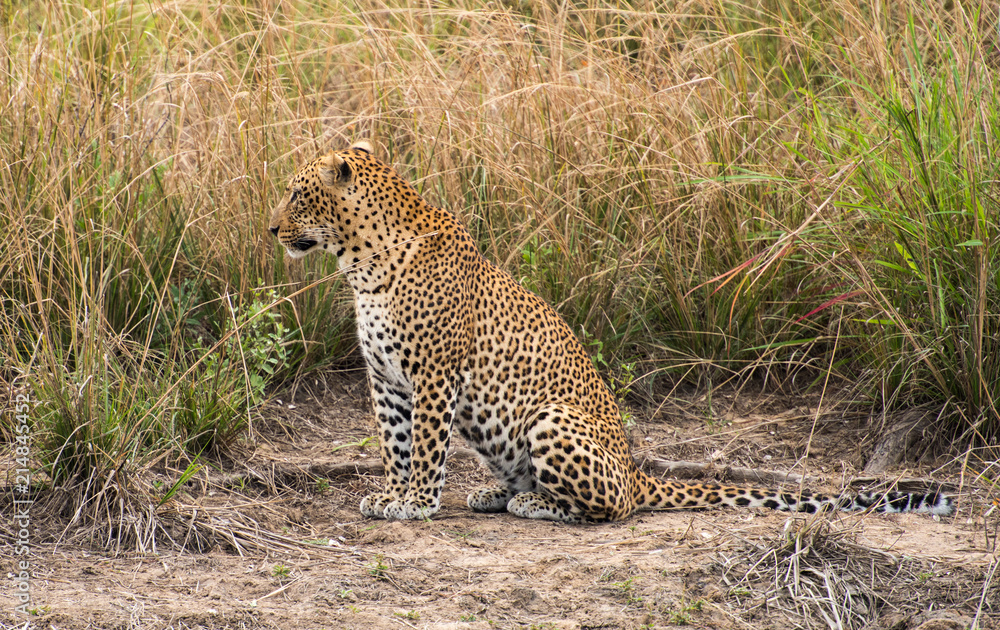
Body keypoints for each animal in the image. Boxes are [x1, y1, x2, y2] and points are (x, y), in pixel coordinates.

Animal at [268, 141, 954, 523]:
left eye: (297, 195)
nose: (272, 230)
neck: (359, 264)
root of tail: (635, 469)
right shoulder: (386, 379)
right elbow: (395, 445)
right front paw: (388, 495)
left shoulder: (434, 376)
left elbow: (426, 449)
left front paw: (414, 504)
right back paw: (497, 495)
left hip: (550, 421)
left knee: (611, 508)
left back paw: (534, 504)